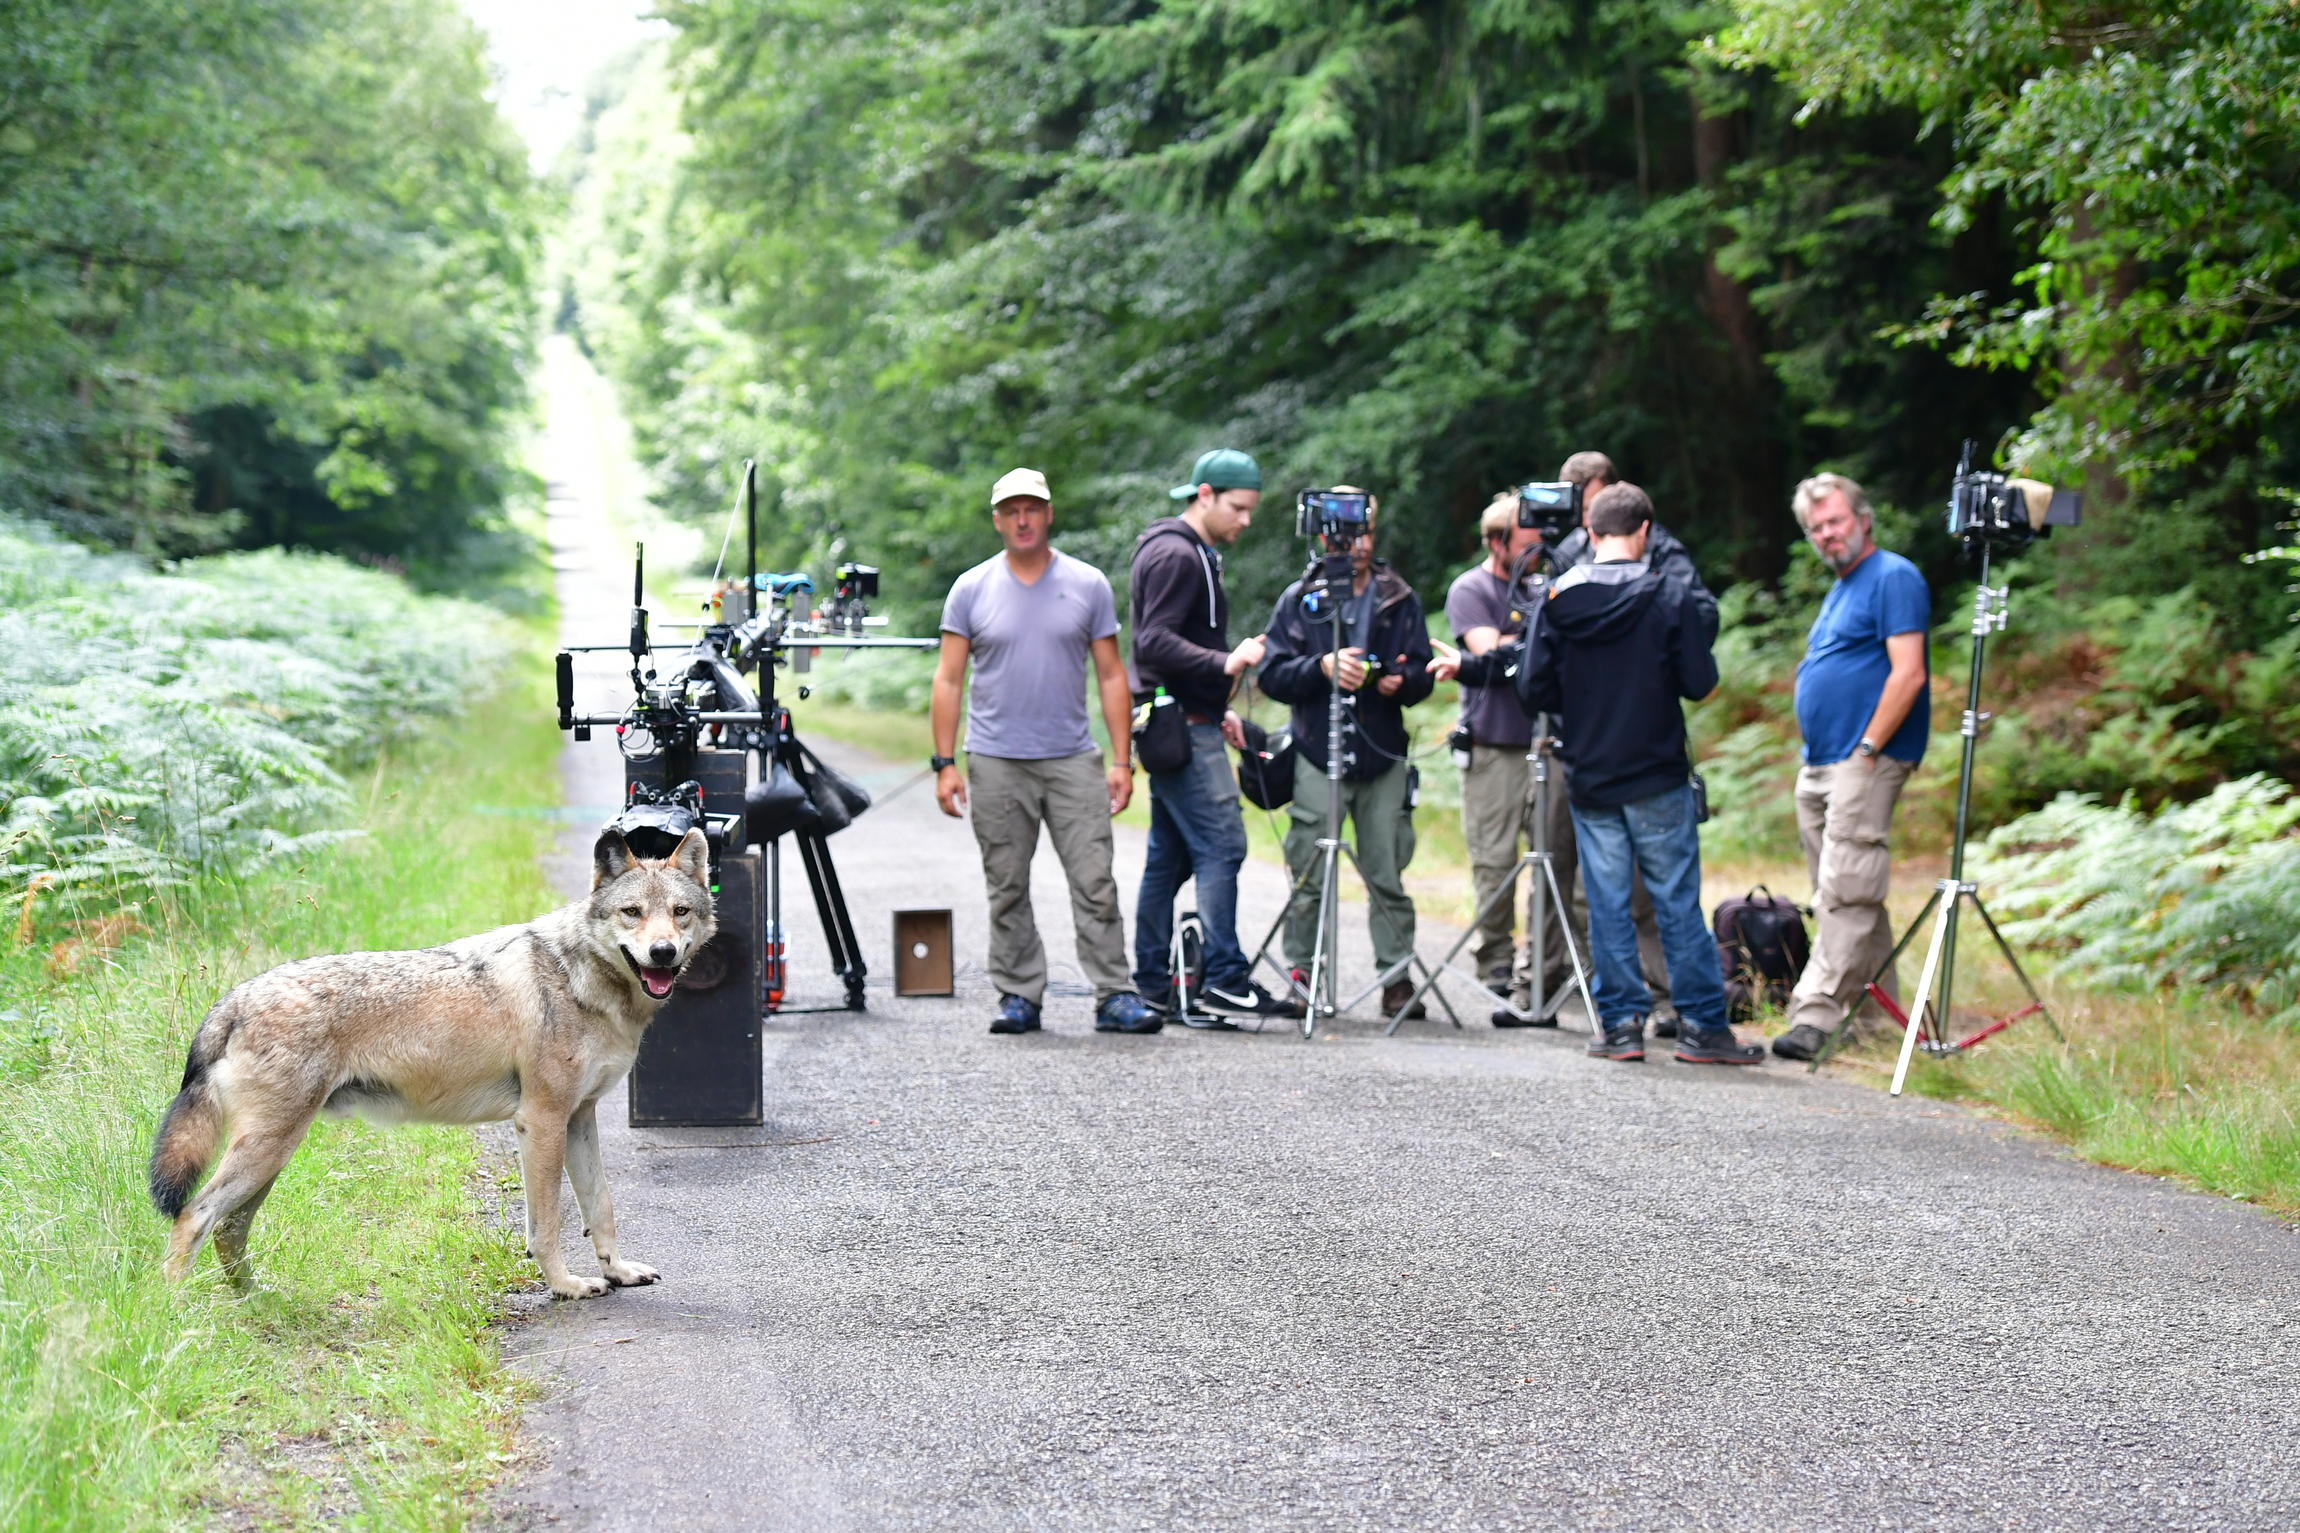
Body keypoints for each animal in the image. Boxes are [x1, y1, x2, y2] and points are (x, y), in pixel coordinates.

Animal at [149, 832, 713, 1305]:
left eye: (680, 912)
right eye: (631, 912)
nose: (662, 952)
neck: (582, 980)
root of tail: (235, 998)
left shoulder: (579, 1118)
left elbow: (601, 1206)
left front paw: (618, 1271)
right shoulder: (541, 1121)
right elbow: (546, 1226)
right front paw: (566, 1286)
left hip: (271, 1157)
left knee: (228, 1228)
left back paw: (256, 1299)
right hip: (267, 1150)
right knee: (194, 1216)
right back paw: (174, 1313)